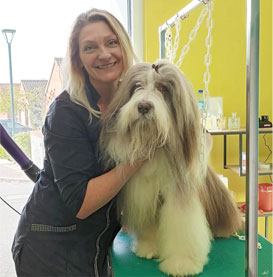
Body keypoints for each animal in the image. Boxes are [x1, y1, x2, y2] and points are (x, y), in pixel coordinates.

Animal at [99, 60, 242, 276]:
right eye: (137, 86)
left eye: (163, 88)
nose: (143, 106)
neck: (155, 144)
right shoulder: (146, 191)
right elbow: (150, 225)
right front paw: (149, 248)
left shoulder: (179, 193)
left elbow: (182, 229)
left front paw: (182, 264)